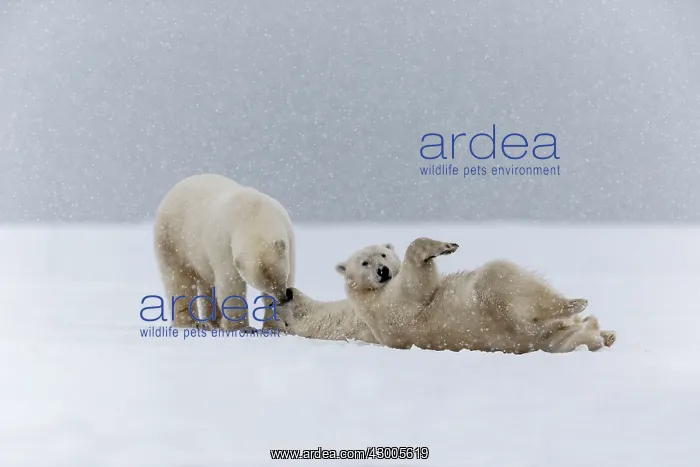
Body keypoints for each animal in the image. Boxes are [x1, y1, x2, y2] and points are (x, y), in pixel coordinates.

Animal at [153, 173, 295, 331]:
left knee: (207, 283)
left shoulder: (287, 232)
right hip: (172, 239)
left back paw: (213, 322)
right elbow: (231, 283)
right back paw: (190, 323)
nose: (283, 298)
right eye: (265, 285)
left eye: (281, 277)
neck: (253, 215)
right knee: (179, 279)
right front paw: (243, 328)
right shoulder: (224, 244)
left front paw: (275, 326)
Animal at [335, 237, 616, 354]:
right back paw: (576, 304)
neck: (366, 297)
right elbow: (418, 282)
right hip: (499, 300)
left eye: (382, 254)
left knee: (569, 334)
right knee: (503, 274)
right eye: (364, 262)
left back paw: (604, 333)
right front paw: (446, 246)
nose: (383, 271)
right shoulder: (392, 306)